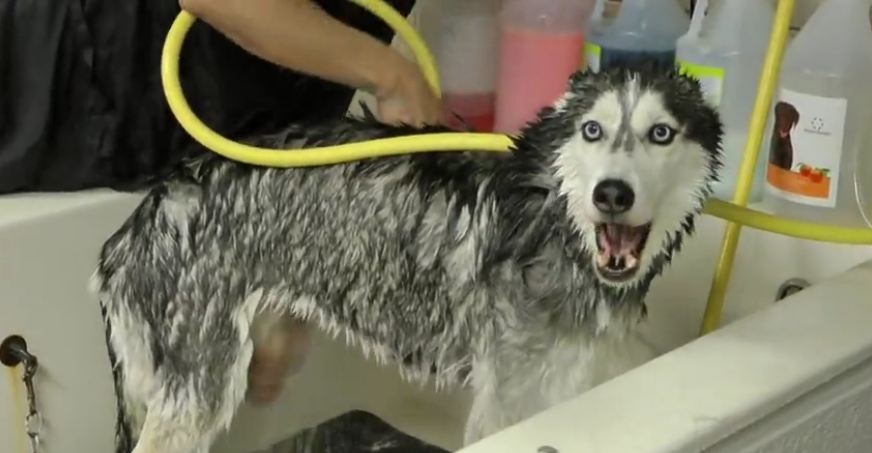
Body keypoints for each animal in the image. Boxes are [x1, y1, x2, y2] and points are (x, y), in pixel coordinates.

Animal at [92, 65, 724, 450]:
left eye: (661, 133)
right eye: (593, 130)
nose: (612, 194)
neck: (551, 217)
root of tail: (150, 208)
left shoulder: (570, 382)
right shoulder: (504, 405)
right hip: (196, 389)